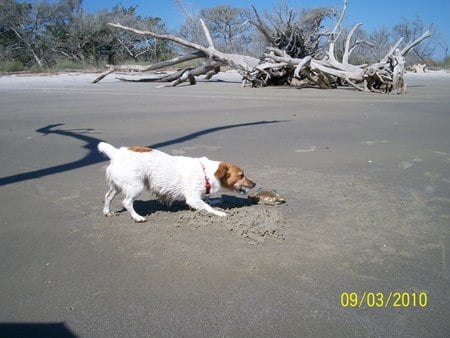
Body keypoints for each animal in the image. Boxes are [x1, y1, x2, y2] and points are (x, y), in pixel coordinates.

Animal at [97, 142, 256, 222]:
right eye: (241, 175)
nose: (254, 184)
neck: (206, 173)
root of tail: (117, 153)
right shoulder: (192, 198)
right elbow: (207, 207)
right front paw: (219, 213)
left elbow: (208, 202)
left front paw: (216, 202)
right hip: (136, 186)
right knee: (127, 202)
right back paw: (137, 217)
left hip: (117, 186)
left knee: (108, 196)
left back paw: (107, 212)